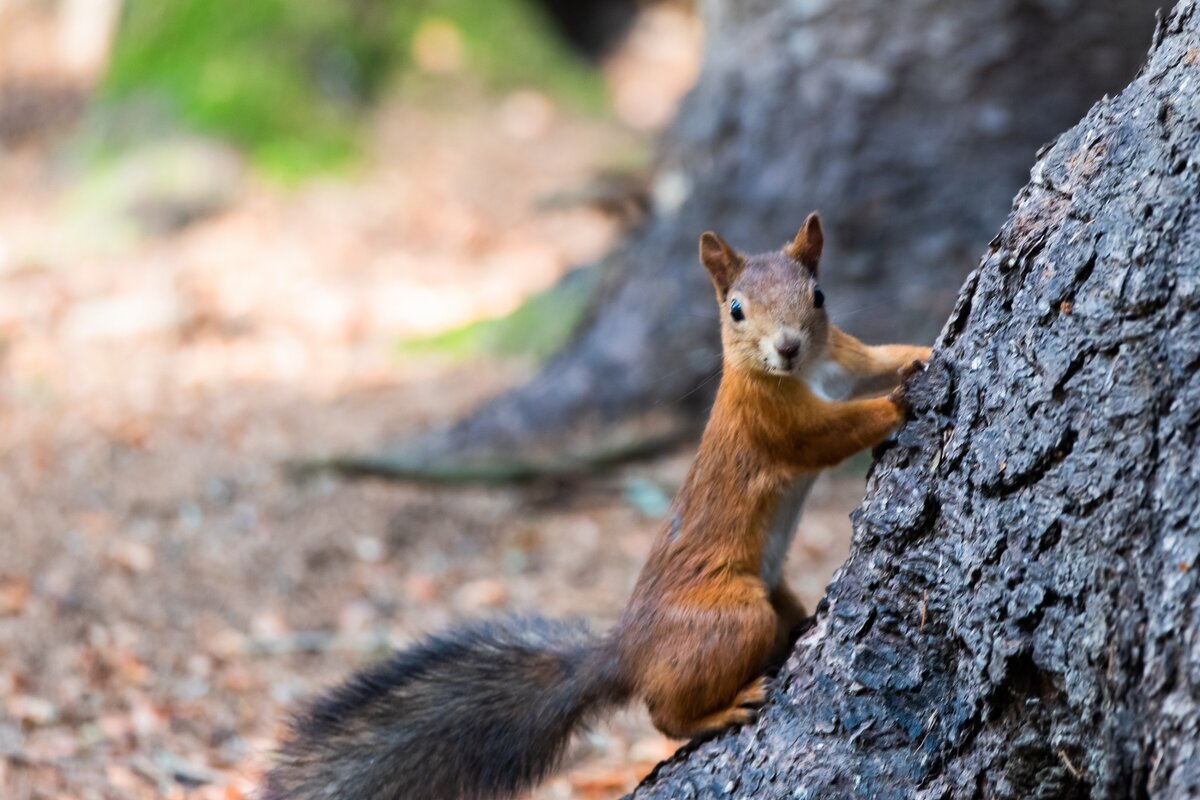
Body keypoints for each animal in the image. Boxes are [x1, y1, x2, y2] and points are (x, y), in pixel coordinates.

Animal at [267, 214, 931, 800]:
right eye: (736, 309)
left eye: (818, 294)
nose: (788, 347)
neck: (805, 372)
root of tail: (625, 653)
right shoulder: (774, 422)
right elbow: (830, 434)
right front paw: (898, 403)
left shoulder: (842, 358)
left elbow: (879, 355)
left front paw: (921, 354)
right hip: (732, 615)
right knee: (663, 711)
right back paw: (719, 711)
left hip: (772, 598)